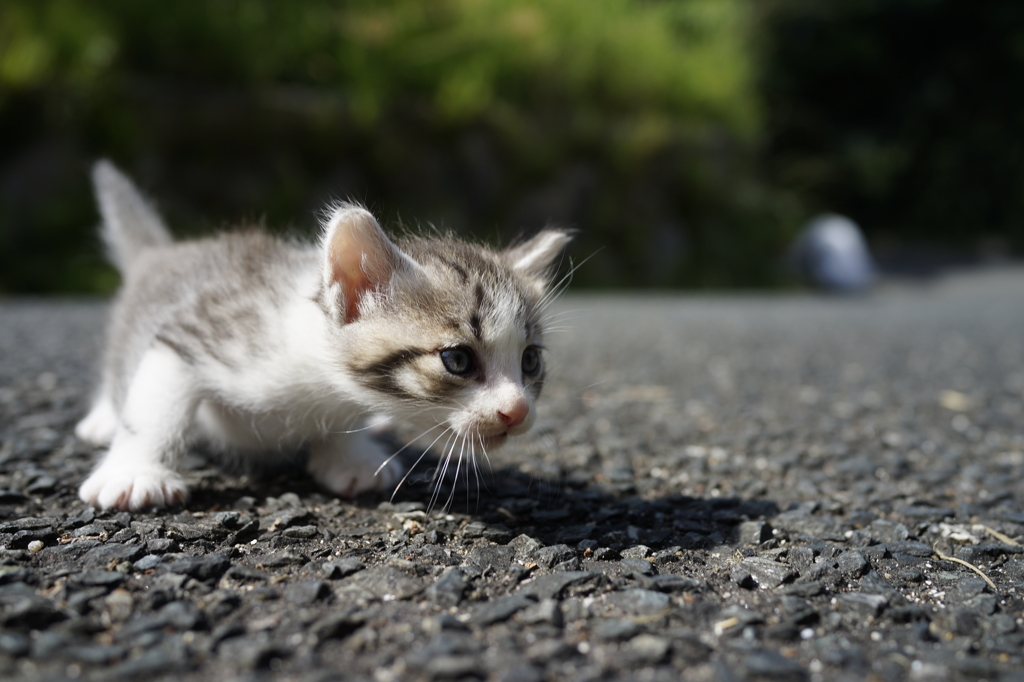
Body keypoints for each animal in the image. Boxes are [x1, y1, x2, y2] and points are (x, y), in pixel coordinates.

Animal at [77, 160, 577, 509]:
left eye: (530, 360)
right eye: (457, 359)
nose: (517, 410)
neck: (315, 385)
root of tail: (161, 253)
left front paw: (349, 456)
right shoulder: (197, 330)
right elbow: (155, 407)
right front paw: (136, 473)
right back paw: (103, 417)